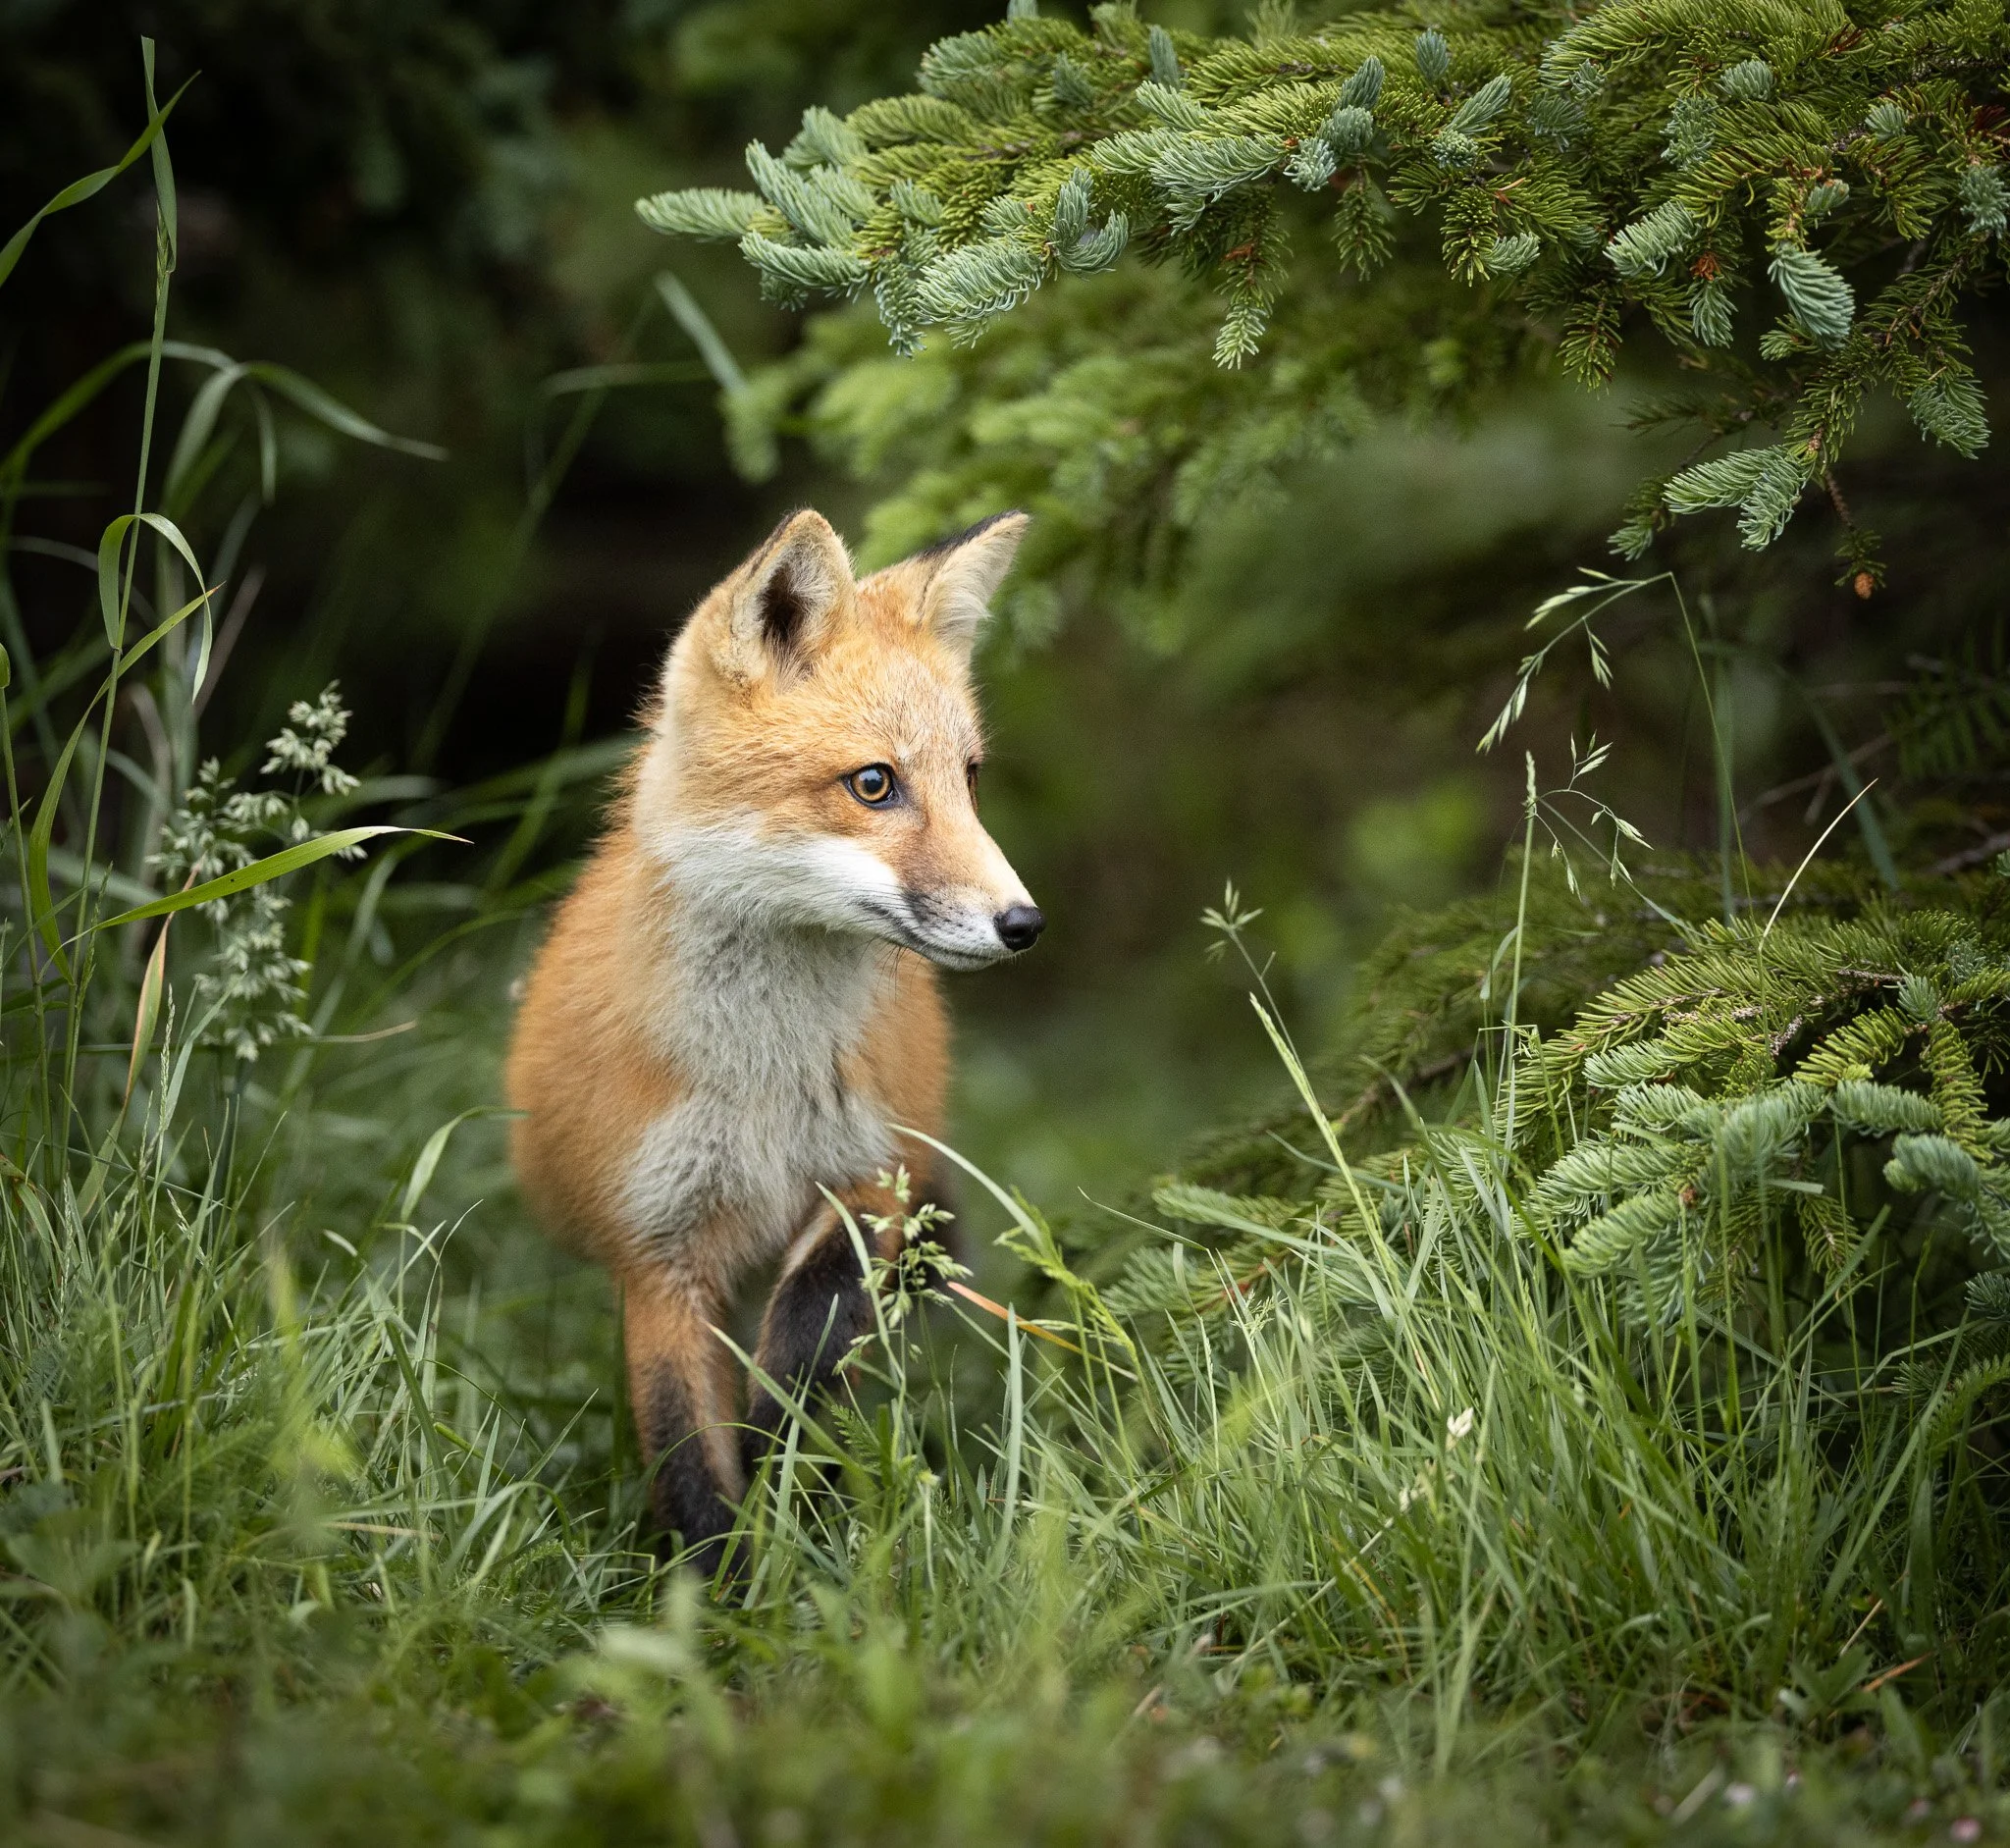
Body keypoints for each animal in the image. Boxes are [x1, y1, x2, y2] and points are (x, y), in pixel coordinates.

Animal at [504, 506, 1043, 1575]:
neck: (759, 1081)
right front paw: (723, 1584)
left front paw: (782, 1472)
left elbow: (807, 1340)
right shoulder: (655, 1245)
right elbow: (682, 1438)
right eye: (874, 783)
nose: (1023, 923)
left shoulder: (869, 1177)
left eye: (967, 778)